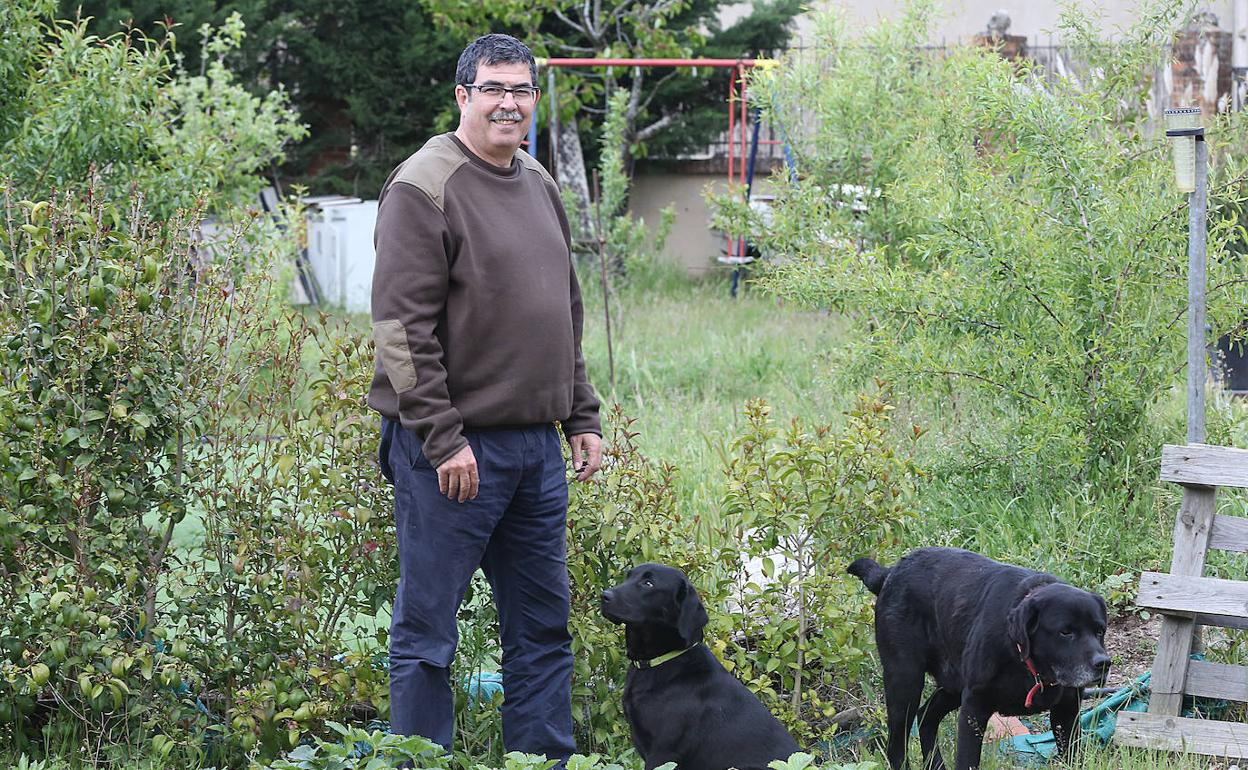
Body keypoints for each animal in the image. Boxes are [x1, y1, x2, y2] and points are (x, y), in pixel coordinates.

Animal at [848, 546, 1113, 768]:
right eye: (1065, 632)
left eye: (1100, 630)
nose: (1103, 663)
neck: (1025, 663)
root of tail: (890, 573)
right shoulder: (974, 708)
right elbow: (967, 760)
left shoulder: (1066, 711)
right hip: (906, 681)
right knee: (897, 746)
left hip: (953, 685)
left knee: (926, 717)